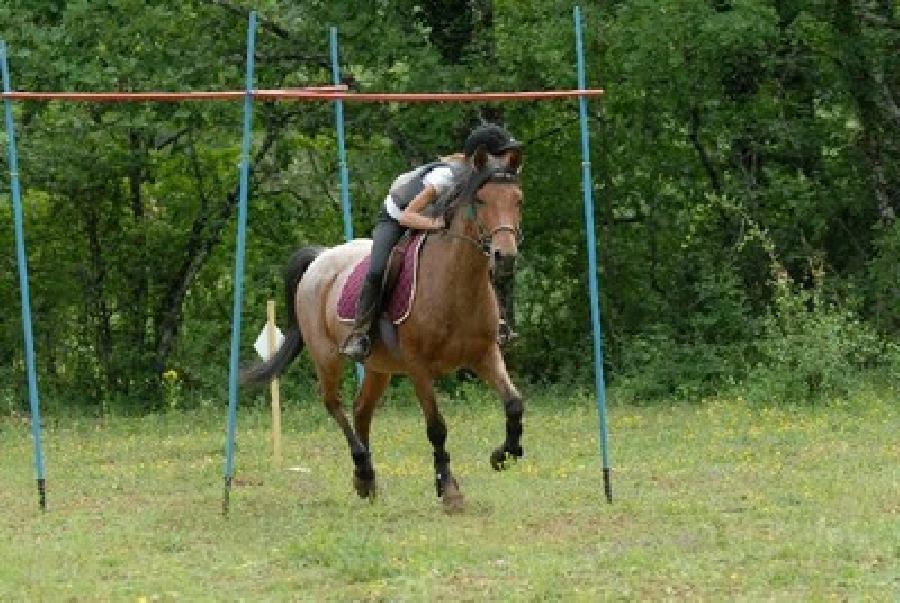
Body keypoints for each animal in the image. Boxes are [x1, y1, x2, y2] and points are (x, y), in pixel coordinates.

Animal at [244, 149, 528, 512]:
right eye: (480, 200)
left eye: (517, 199)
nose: (504, 256)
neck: (456, 284)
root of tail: (320, 258)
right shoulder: (418, 367)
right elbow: (436, 427)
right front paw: (449, 490)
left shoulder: (484, 354)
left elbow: (514, 403)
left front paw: (503, 455)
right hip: (326, 357)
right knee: (334, 404)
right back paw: (363, 468)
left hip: (378, 366)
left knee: (361, 410)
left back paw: (365, 480)